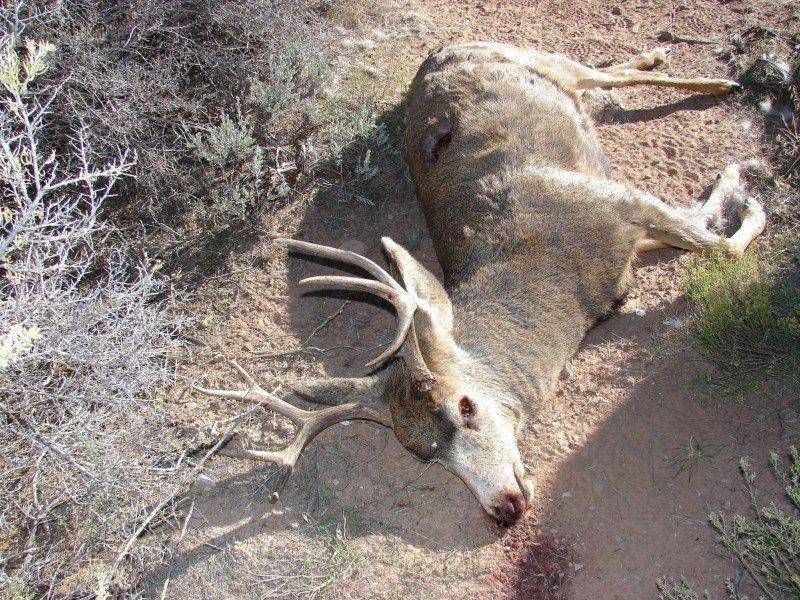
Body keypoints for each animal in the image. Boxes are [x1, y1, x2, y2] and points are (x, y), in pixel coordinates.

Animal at [197, 43, 764, 524]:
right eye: (424, 455)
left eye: (466, 407)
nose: (505, 507)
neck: (571, 284)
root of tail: (437, 53)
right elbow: (701, 224)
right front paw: (734, 189)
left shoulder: (617, 200)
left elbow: (719, 242)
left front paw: (739, 185)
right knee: (602, 79)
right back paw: (674, 66)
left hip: (533, 58)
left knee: (601, 74)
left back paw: (719, 82)